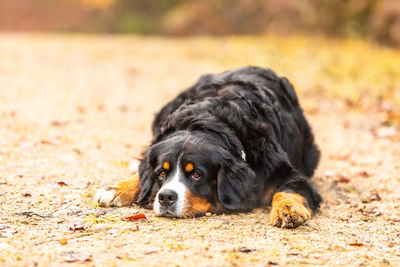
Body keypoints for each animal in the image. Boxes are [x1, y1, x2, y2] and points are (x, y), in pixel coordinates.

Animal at [96, 66, 322, 228]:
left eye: (196, 175)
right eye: (161, 173)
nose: (166, 197)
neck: (210, 122)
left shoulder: (285, 171)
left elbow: (289, 189)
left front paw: (288, 210)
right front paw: (116, 189)